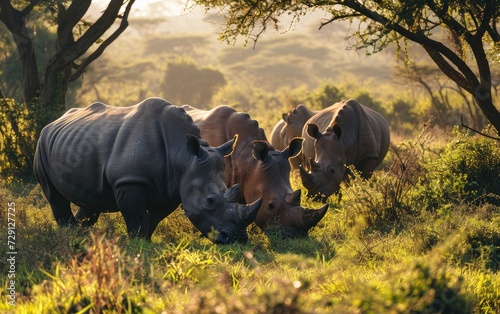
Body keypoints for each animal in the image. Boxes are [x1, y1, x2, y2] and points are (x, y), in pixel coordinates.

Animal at [33, 97, 262, 244]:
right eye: (210, 201)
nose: (238, 239)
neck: (183, 158)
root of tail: (54, 122)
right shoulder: (129, 180)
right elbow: (135, 216)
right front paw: (138, 244)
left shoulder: (172, 187)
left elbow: (153, 218)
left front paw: (147, 239)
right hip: (41, 145)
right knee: (54, 195)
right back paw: (69, 232)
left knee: (91, 198)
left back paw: (81, 233)